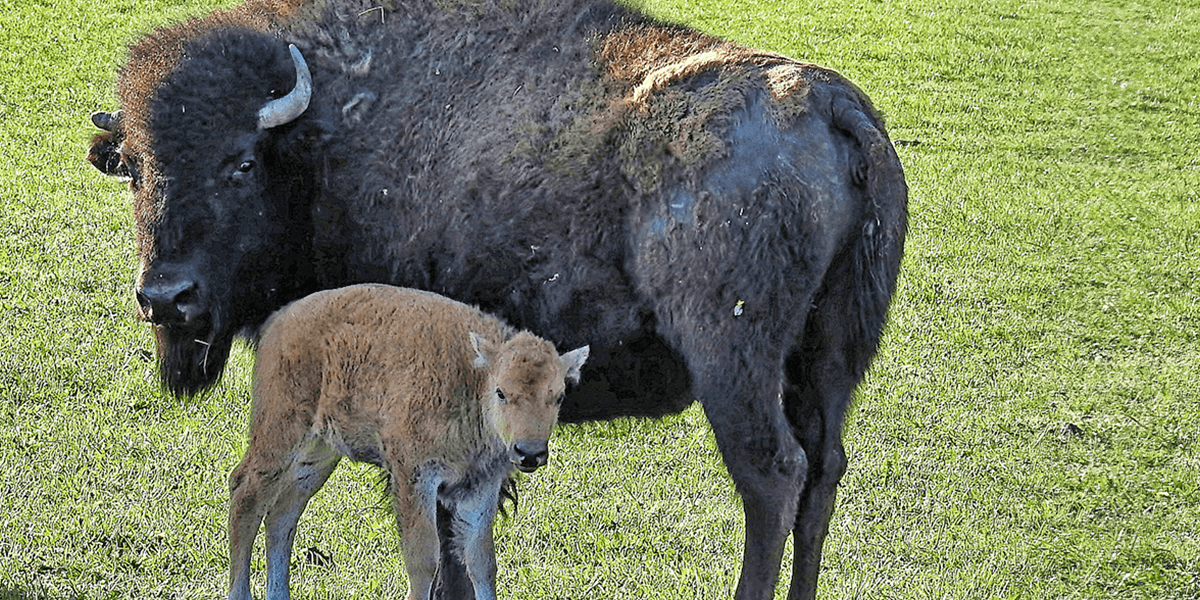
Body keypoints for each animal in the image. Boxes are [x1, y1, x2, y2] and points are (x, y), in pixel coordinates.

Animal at [230, 283, 588, 600]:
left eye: (557, 396)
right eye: (501, 392)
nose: (529, 452)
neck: (472, 379)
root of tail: (280, 320)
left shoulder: (481, 486)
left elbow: (482, 562)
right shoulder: (414, 475)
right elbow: (424, 558)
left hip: (319, 455)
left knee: (282, 515)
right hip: (281, 432)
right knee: (247, 493)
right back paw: (240, 593)